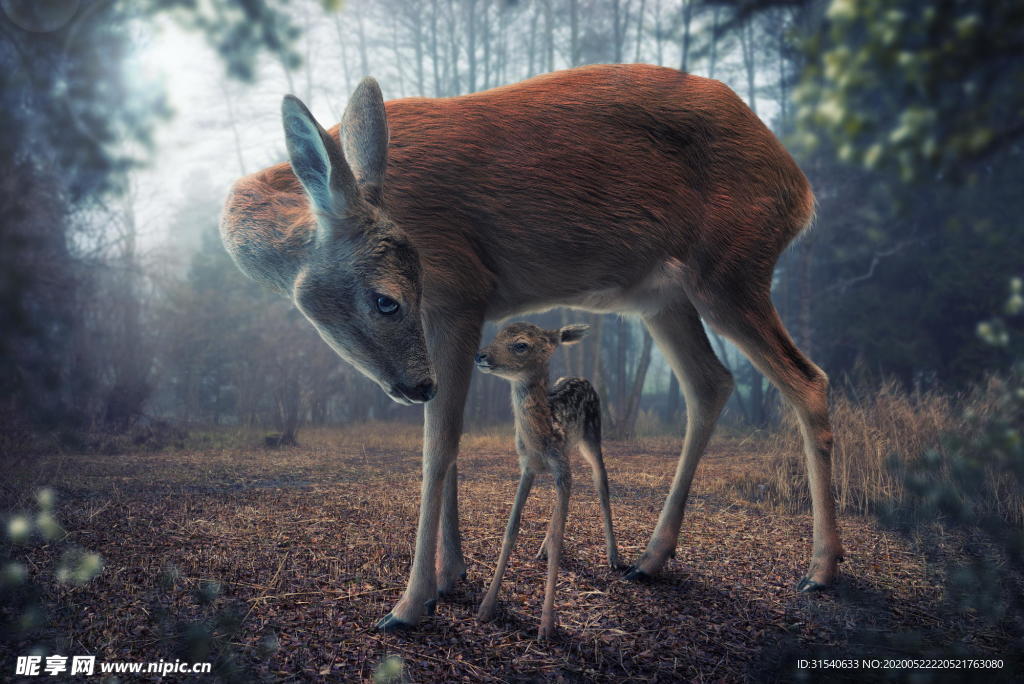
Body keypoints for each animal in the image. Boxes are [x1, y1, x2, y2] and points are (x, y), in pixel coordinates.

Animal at [473, 323, 622, 638]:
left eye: (521, 345)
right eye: (498, 333)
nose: (480, 355)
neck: (541, 437)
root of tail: (582, 378)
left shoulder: (561, 467)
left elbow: (559, 537)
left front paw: (546, 625)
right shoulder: (527, 467)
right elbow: (511, 529)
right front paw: (486, 608)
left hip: (592, 436)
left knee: (601, 483)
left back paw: (614, 557)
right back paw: (542, 548)